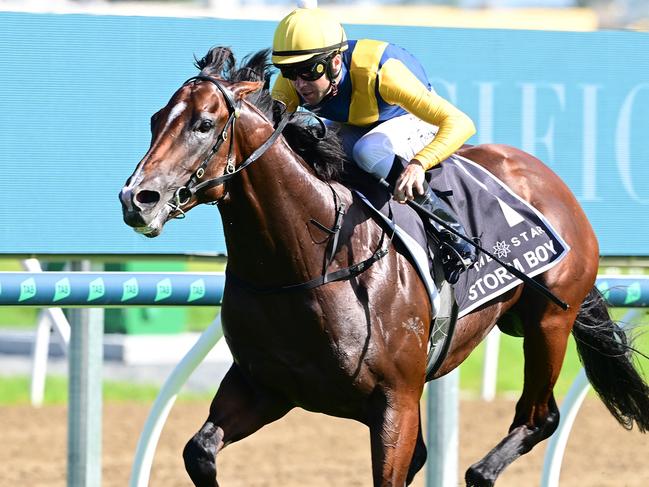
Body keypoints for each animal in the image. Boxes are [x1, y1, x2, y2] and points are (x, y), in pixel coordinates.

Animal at [117, 46, 648, 487]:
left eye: (204, 124)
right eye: (155, 119)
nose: (136, 199)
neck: (307, 263)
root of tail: (549, 179)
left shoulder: (397, 404)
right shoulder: (265, 387)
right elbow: (199, 452)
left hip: (549, 320)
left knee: (539, 417)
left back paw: (481, 471)